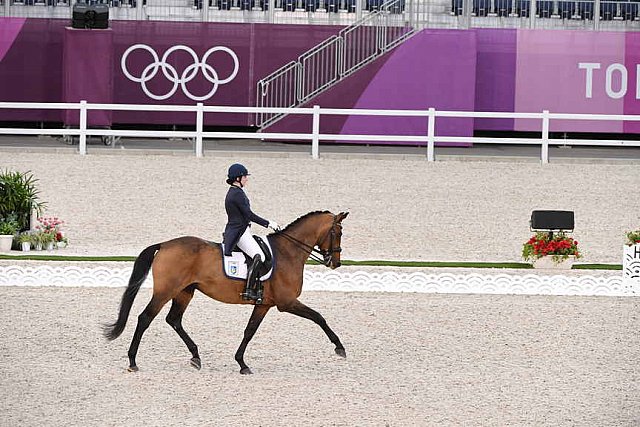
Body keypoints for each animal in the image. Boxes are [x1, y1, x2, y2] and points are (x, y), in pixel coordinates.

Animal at [104, 211, 350, 374]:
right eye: (337, 232)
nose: (336, 263)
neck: (288, 253)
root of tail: (164, 244)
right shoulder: (287, 302)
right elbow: (319, 317)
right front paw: (339, 347)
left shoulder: (263, 304)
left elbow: (249, 331)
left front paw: (241, 363)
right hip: (166, 291)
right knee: (145, 318)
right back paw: (132, 361)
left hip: (184, 292)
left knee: (174, 320)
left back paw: (195, 356)